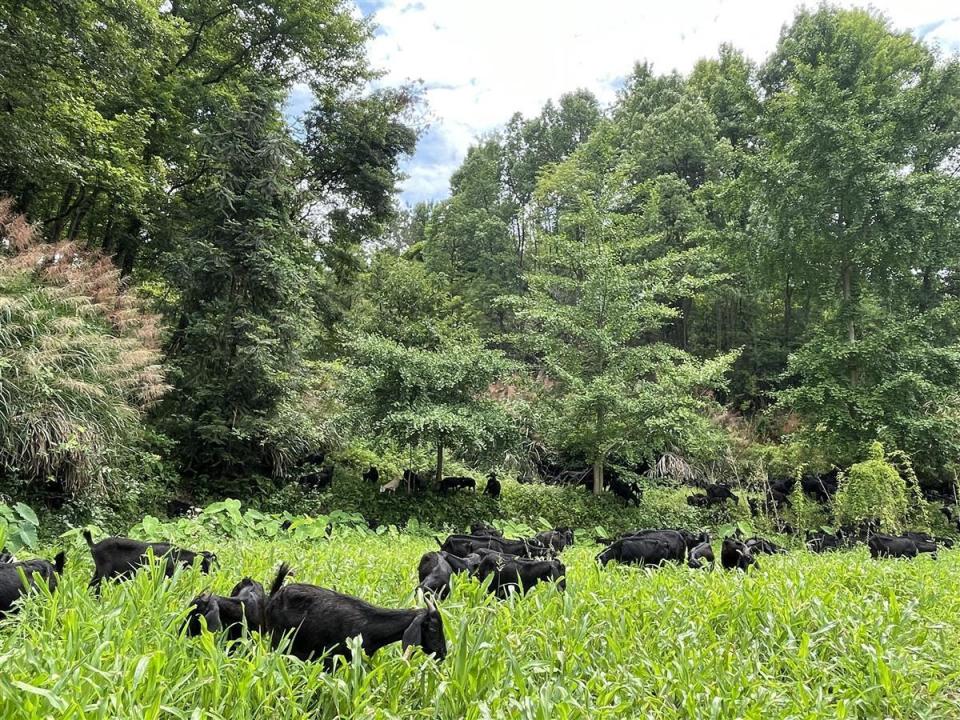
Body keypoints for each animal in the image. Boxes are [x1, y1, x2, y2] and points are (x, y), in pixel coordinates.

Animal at [83, 528, 217, 592]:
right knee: (98, 588)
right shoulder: (164, 575)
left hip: (98, 571)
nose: (209, 574)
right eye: (207, 562)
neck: (177, 555)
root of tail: (94, 545)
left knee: (90, 585)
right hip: (104, 573)